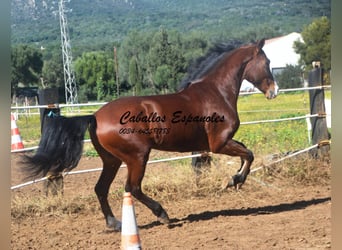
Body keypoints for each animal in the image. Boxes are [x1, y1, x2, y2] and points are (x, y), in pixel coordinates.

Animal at [22, 39, 278, 230]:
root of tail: (94, 116)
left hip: (112, 160)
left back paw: (114, 223)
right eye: (267, 61)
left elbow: (246, 153)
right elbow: (249, 154)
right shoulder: (219, 143)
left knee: (101, 188)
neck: (215, 92)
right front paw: (235, 180)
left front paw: (235, 179)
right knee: (132, 188)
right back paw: (162, 214)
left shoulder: (218, 145)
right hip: (137, 157)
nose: (273, 92)